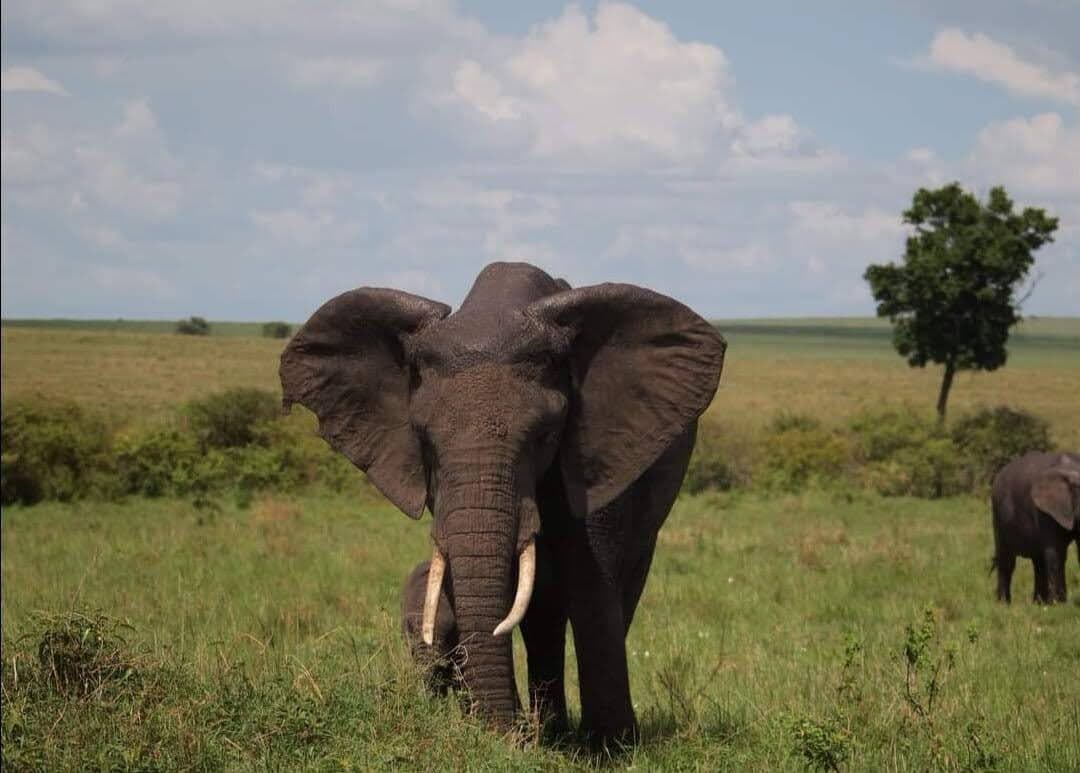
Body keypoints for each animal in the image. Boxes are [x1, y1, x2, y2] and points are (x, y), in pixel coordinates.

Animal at [280, 261, 726, 743]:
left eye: (545, 435)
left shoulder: (600, 448)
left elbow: (591, 576)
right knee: (542, 611)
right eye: (423, 438)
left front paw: (609, 746)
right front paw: (517, 737)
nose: (501, 733)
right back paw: (551, 731)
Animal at [991, 450, 1080, 603]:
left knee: (1037, 561)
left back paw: (1039, 603)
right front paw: (1059, 604)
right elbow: (1055, 553)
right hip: (998, 513)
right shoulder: (1044, 512)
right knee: (1006, 561)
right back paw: (1003, 604)